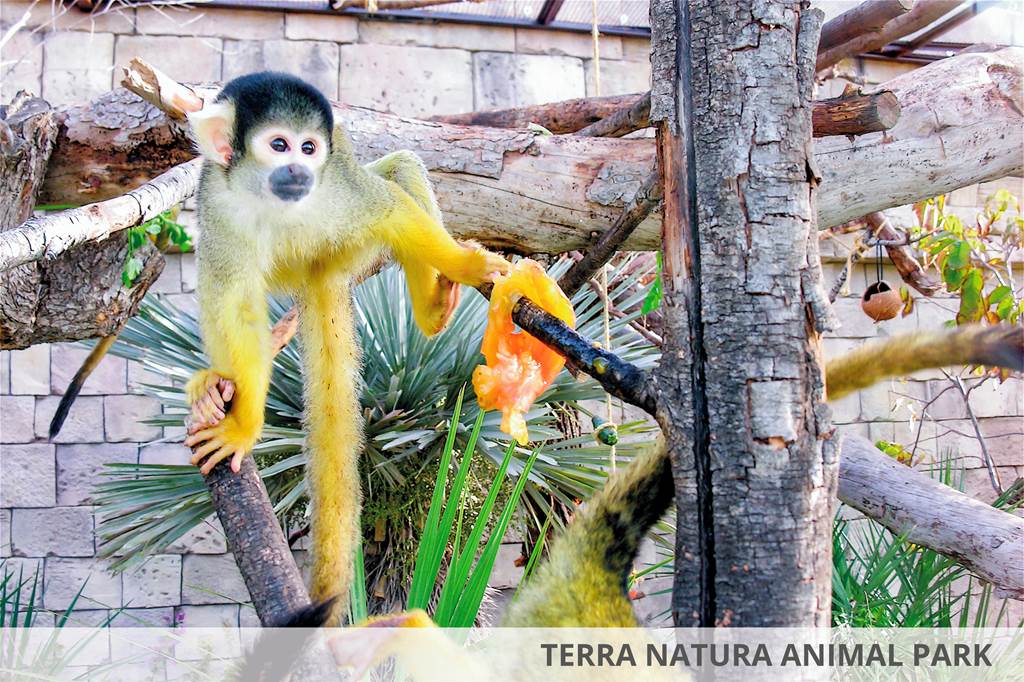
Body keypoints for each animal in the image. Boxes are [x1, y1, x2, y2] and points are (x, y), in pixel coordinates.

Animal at [185, 73, 512, 622]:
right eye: (279, 145)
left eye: (309, 148)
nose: (299, 170)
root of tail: (319, 270)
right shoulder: (218, 203)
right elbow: (231, 299)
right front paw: (242, 423)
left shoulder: (339, 190)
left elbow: (391, 206)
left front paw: (467, 266)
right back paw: (219, 381)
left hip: (350, 247)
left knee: (400, 175)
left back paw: (431, 309)